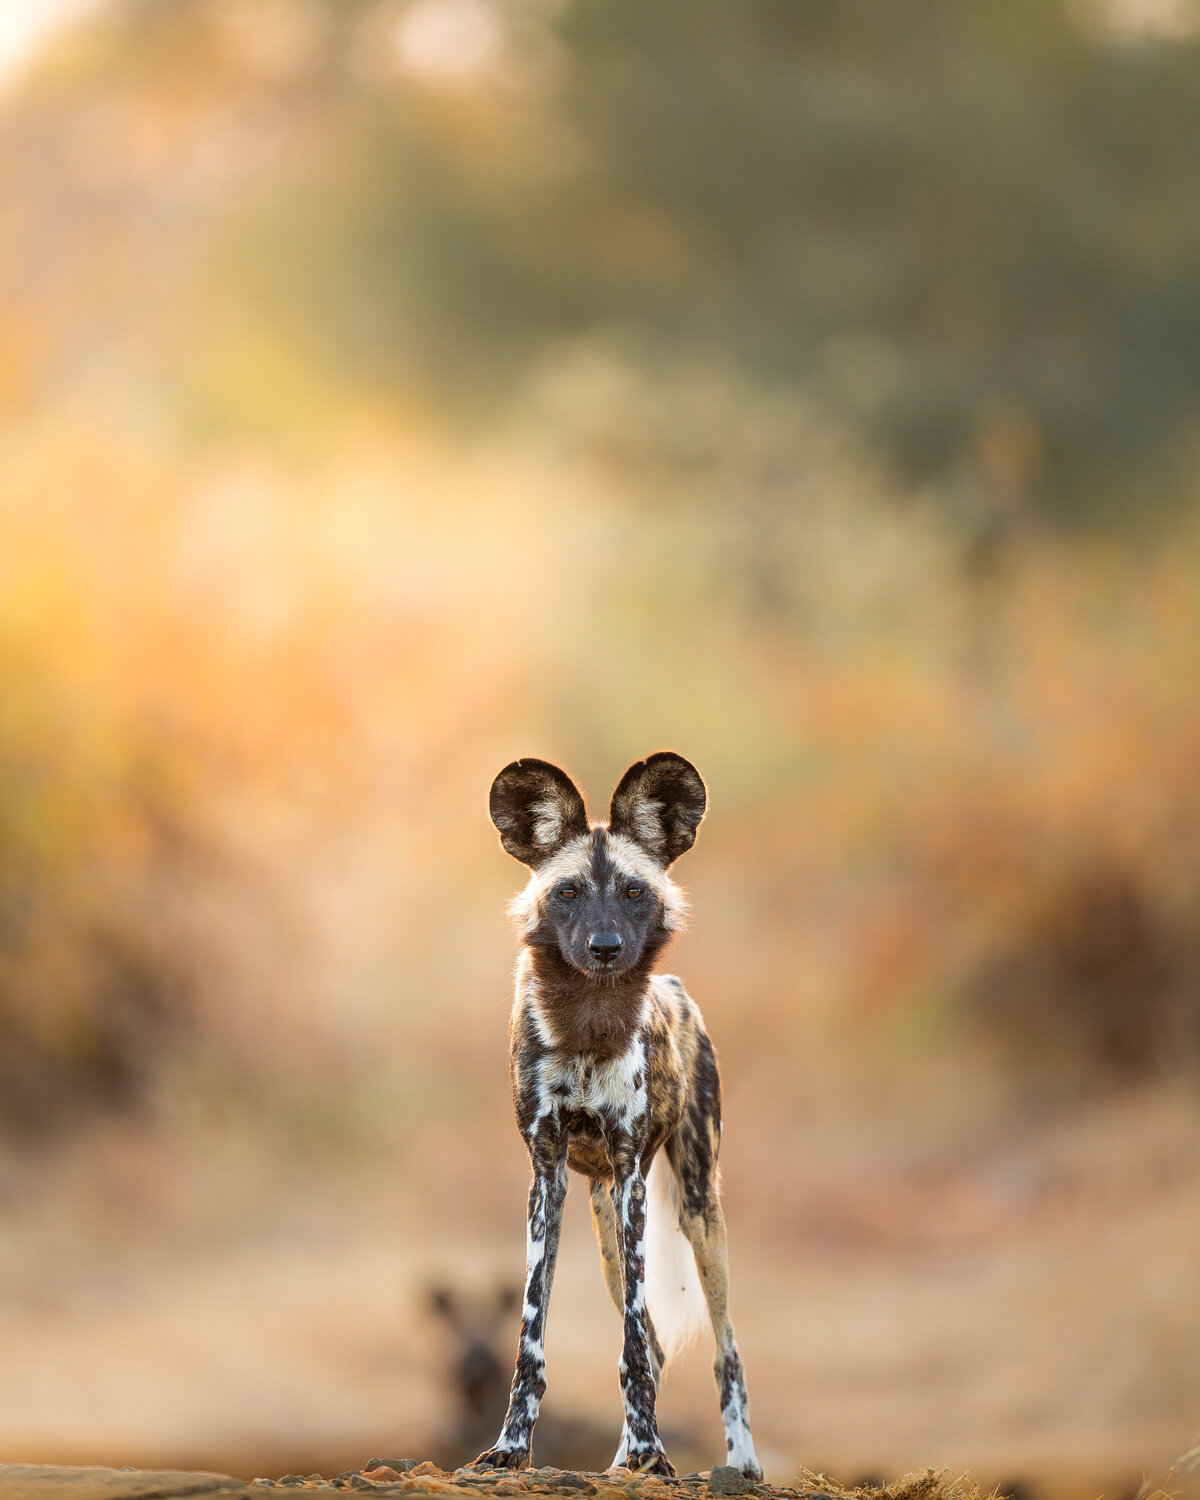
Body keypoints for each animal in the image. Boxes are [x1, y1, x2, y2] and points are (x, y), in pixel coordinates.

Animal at [470, 752, 762, 1480]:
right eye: (569, 892)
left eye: (633, 892)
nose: (605, 947)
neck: (587, 1026)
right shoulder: (546, 1179)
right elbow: (532, 1339)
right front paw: (511, 1447)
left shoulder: (632, 1175)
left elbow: (633, 1341)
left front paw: (654, 1452)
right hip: (604, 1225)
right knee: (654, 1345)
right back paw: (621, 1459)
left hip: (700, 1215)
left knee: (723, 1349)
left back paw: (737, 1462)